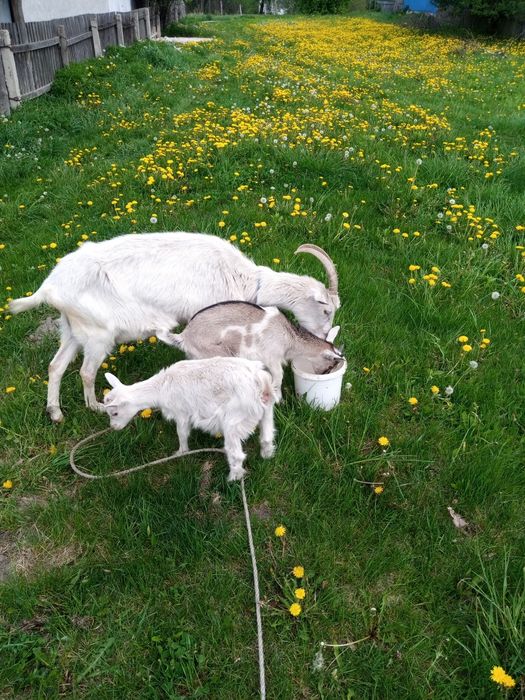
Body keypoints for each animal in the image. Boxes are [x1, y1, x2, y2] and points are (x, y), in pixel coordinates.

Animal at [103, 357, 276, 481]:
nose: (114, 427)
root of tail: (260, 381)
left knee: (236, 454)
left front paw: (181, 452)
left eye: (114, 413)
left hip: (234, 420)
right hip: (266, 411)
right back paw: (266, 457)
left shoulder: (182, 412)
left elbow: (182, 433)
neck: (161, 387)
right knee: (267, 437)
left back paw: (232, 480)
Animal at [157, 301, 344, 401]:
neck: (290, 337)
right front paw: (278, 399)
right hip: (216, 354)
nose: (322, 374)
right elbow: (278, 377)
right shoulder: (271, 357)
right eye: (329, 367)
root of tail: (184, 336)